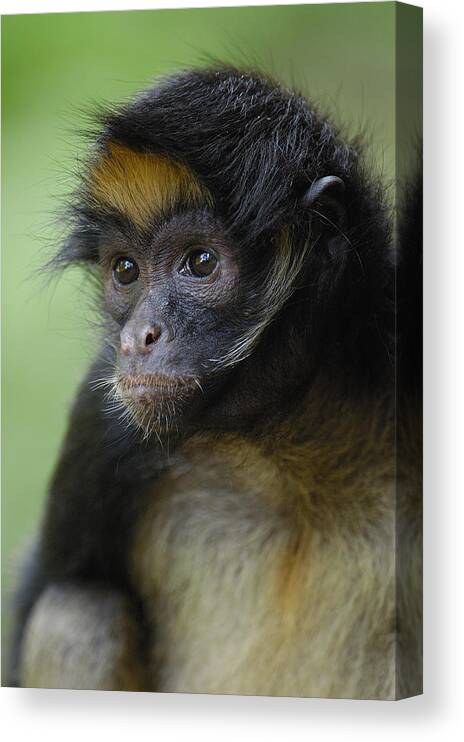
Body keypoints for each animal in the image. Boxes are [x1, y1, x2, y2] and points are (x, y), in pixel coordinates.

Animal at [7, 67, 422, 700]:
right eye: (125, 270)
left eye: (200, 263)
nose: (138, 338)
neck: (282, 457)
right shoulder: (101, 423)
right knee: (75, 613)